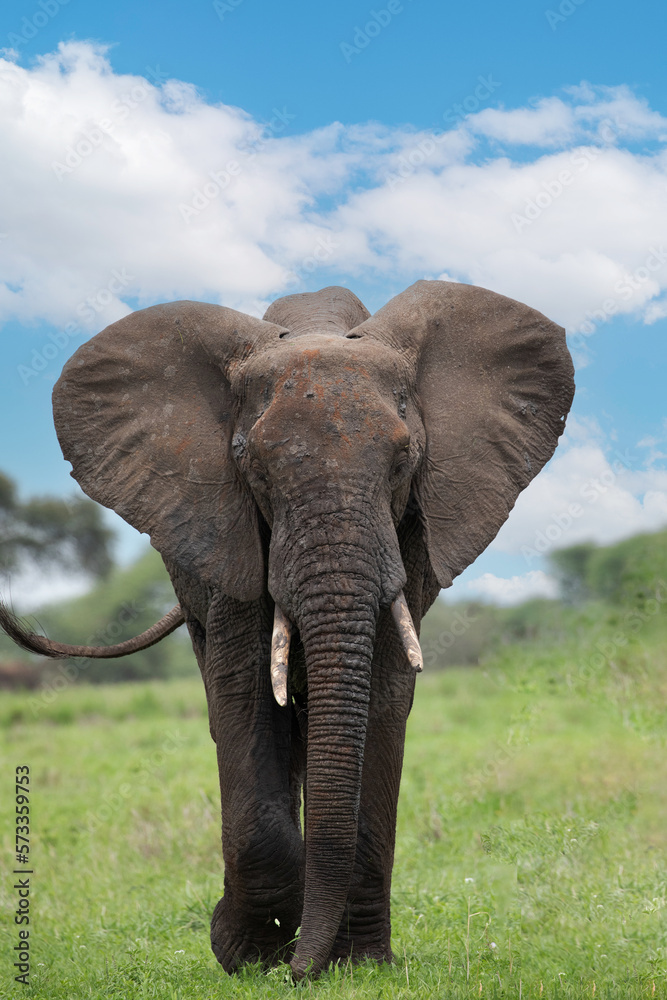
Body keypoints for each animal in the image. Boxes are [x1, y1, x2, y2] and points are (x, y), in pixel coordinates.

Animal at [0, 279, 574, 979]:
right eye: (253, 467)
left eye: (403, 460)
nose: (303, 972)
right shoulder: (228, 531)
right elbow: (245, 693)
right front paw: (246, 954)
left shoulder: (409, 536)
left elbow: (383, 695)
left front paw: (357, 964)